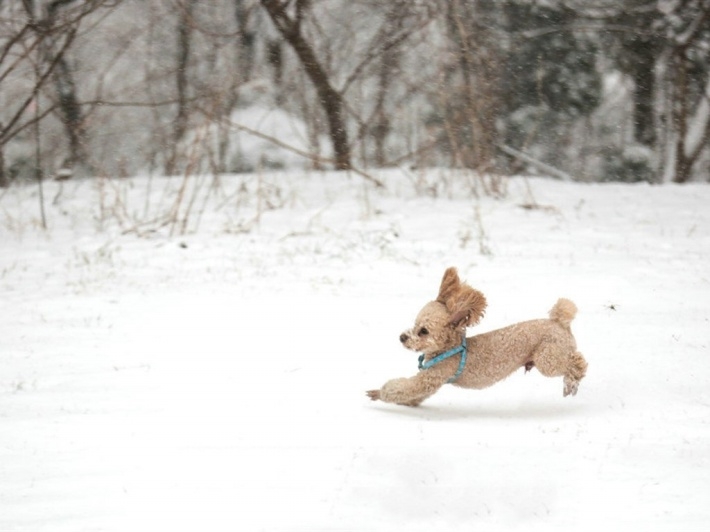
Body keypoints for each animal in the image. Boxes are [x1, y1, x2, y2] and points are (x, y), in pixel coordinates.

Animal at [368, 266, 588, 408]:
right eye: (414, 325)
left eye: (424, 331)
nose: (402, 337)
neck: (449, 348)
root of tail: (560, 322)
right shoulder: (432, 381)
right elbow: (414, 395)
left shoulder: (433, 376)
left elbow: (404, 387)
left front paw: (378, 393)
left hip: (548, 358)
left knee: (576, 361)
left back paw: (573, 380)